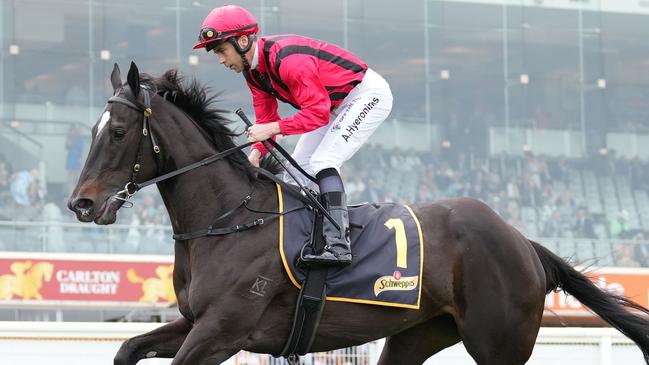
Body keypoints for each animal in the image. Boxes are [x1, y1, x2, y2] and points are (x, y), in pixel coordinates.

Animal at [67, 61, 648, 362]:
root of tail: (522, 242)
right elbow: (125, 349)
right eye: (91, 129)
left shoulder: (222, 331)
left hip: (499, 342)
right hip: (417, 334)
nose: (81, 203)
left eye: (118, 132)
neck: (230, 219)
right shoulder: (194, 322)